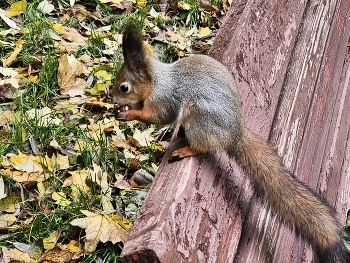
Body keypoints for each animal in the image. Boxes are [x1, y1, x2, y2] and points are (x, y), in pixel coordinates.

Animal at [110, 23, 344, 262]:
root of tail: (234, 135)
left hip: (199, 121)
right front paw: (126, 109)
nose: (111, 98)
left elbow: (159, 116)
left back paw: (185, 150)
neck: (157, 81)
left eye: (124, 87)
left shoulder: (165, 100)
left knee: (203, 146)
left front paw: (130, 114)